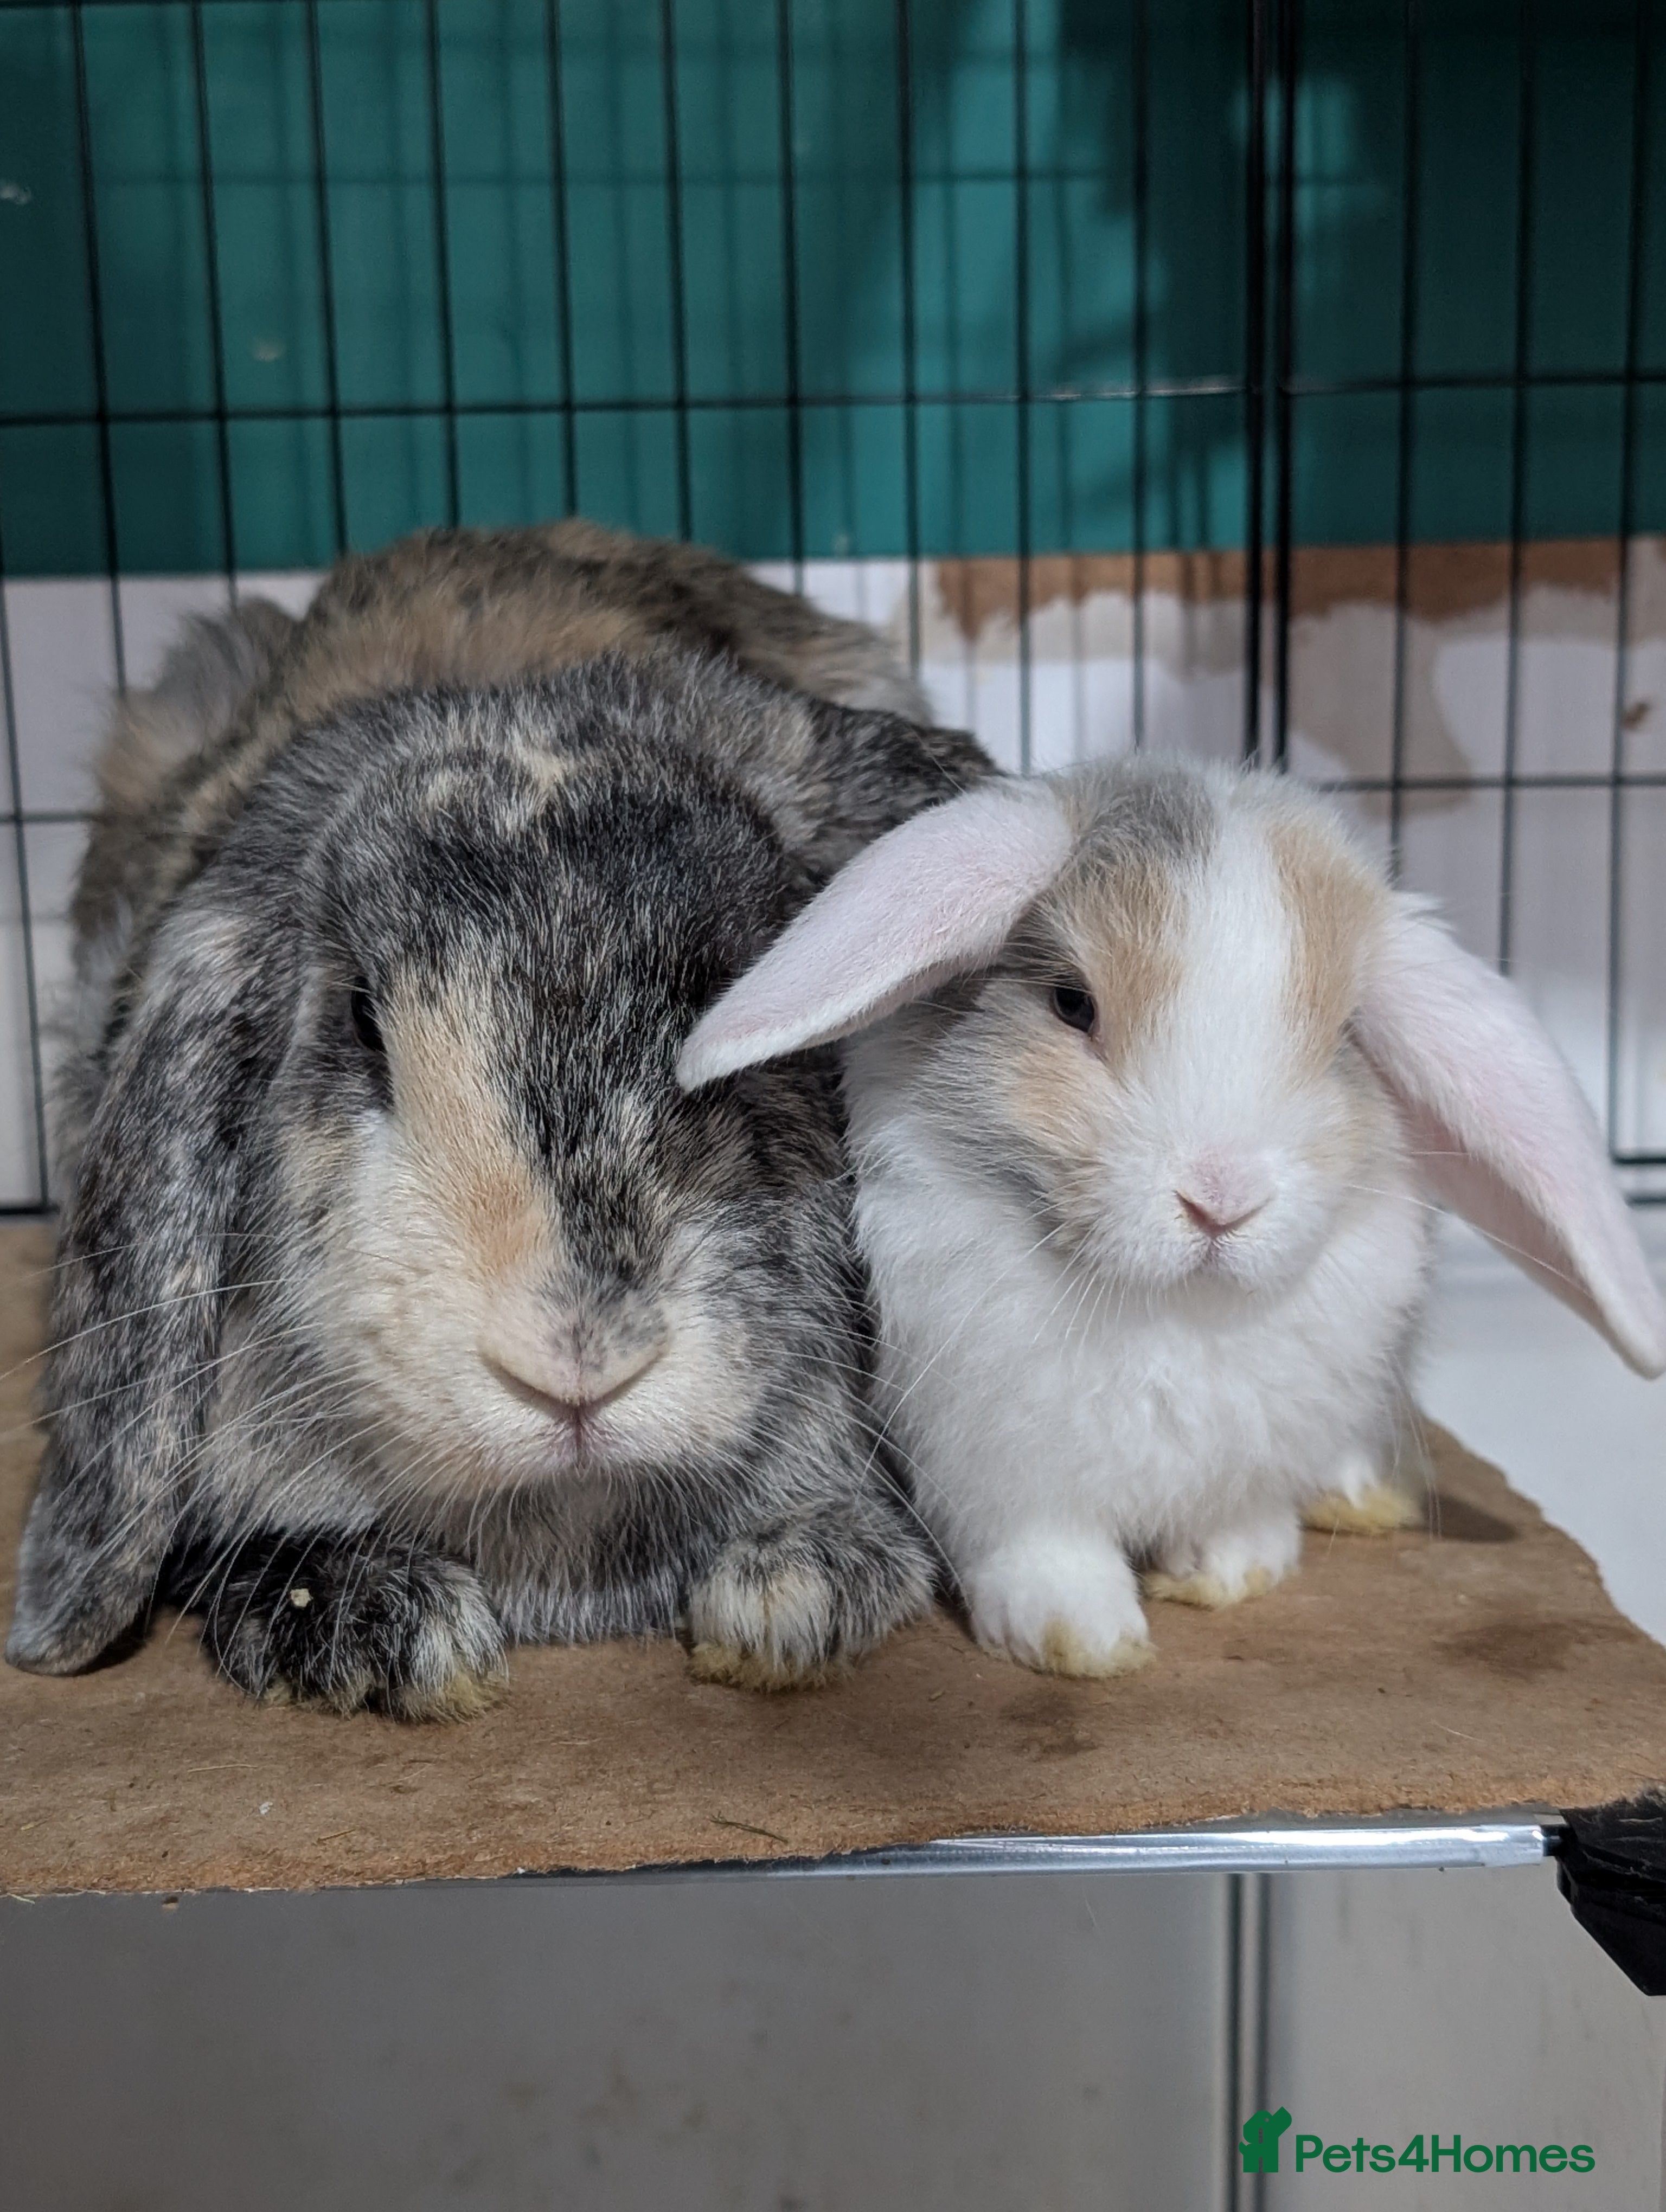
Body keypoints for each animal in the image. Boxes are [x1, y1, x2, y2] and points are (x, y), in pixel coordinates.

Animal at [678, 755, 1666, 1678]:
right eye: (1071, 1002)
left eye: (1345, 1037)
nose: (1221, 1200)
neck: (1177, 1310)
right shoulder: (1000, 1472)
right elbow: (1044, 1553)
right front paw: (1079, 1640)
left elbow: (1243, 1524)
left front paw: (1232, 1574)